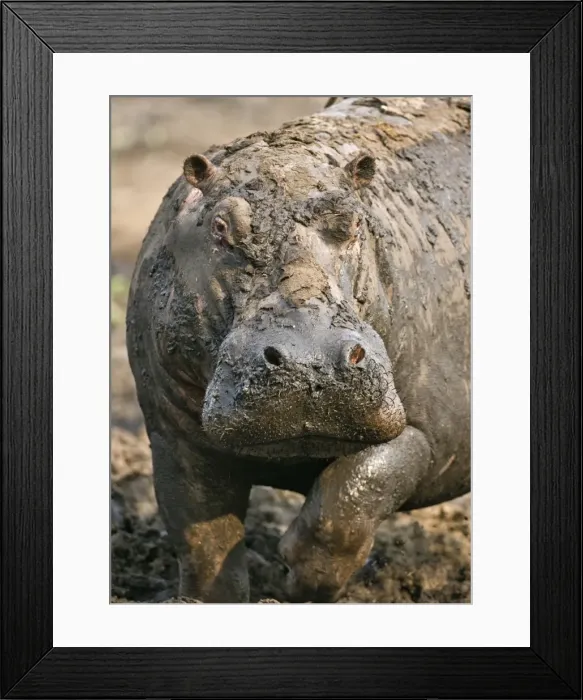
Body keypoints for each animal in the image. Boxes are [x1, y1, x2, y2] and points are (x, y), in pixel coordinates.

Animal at [126, 96, 471, 603]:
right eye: (220, 226)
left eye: (354, 222)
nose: (311, 364)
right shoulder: (172, 435)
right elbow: (203, 539)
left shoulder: (432, 432)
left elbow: (354, 494)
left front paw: (293, 572)